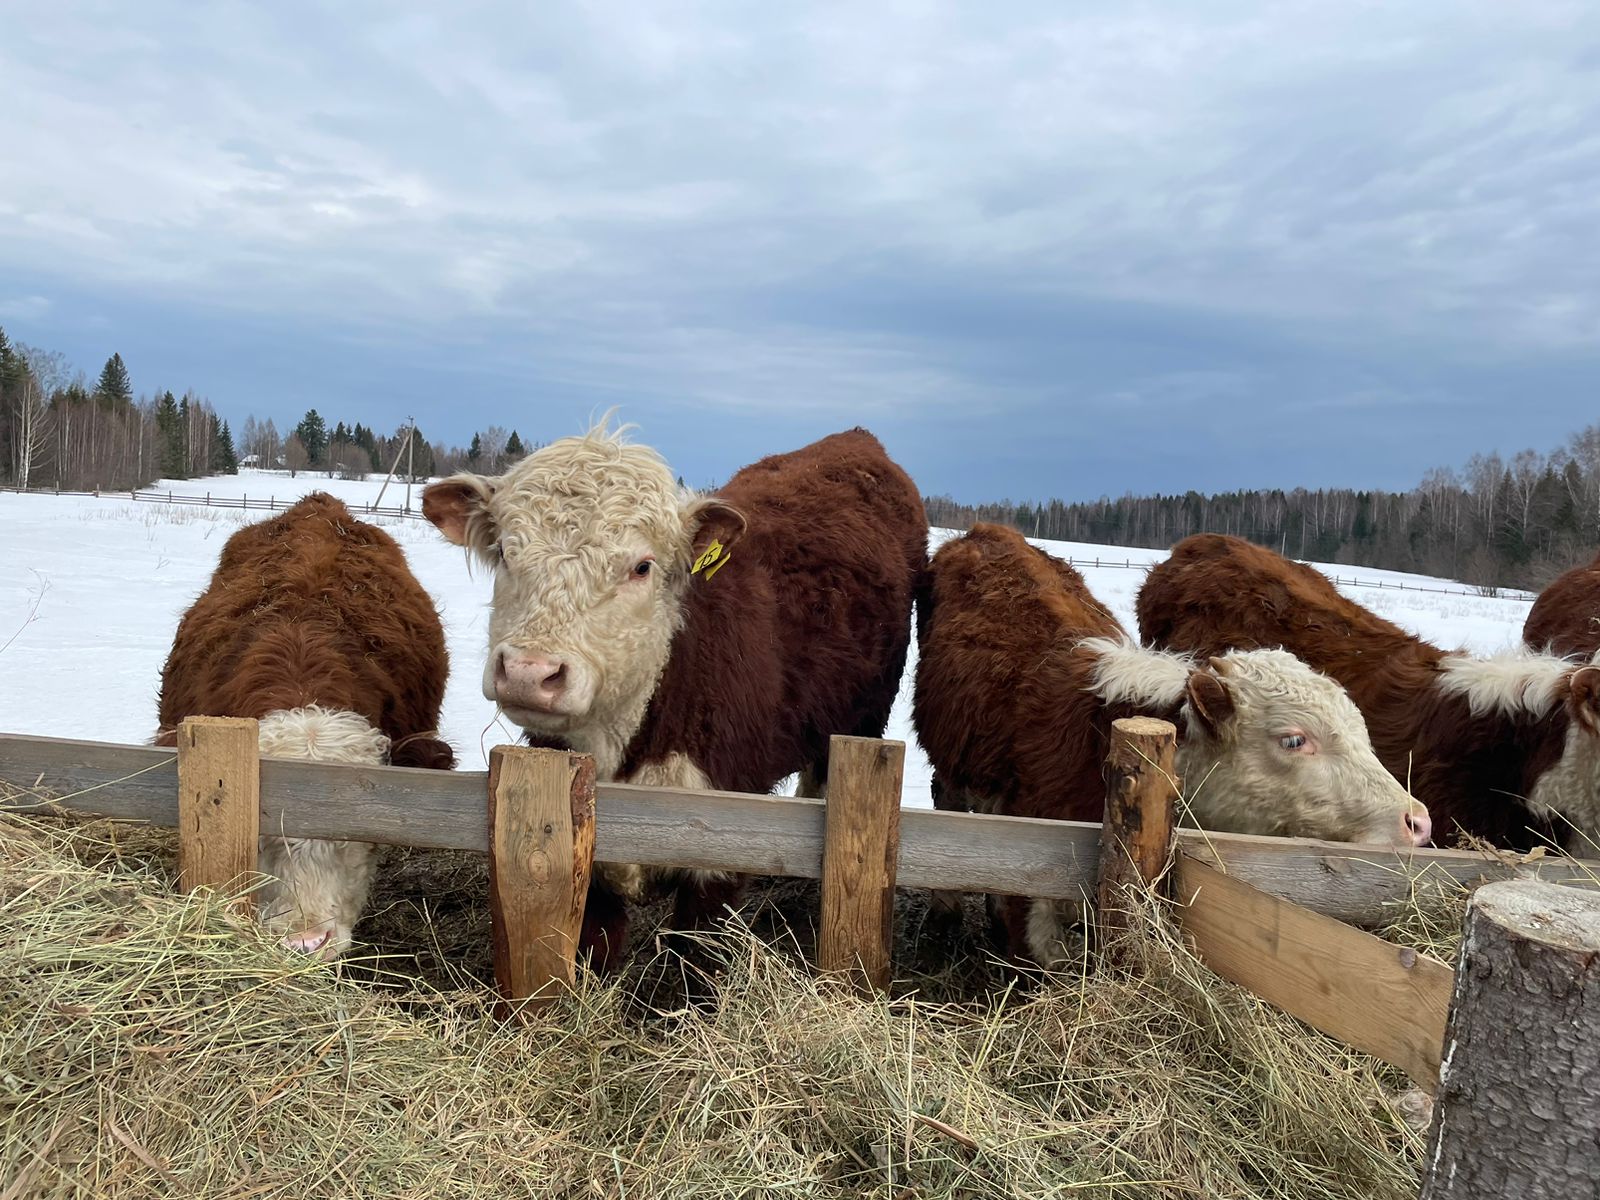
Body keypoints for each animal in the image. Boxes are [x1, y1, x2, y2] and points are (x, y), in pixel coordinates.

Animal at [422, 422, 928, 966]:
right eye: (504, 553)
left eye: (642, 567)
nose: (527, 672)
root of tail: (857, 438)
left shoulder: (719, 854)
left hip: (866, 718)